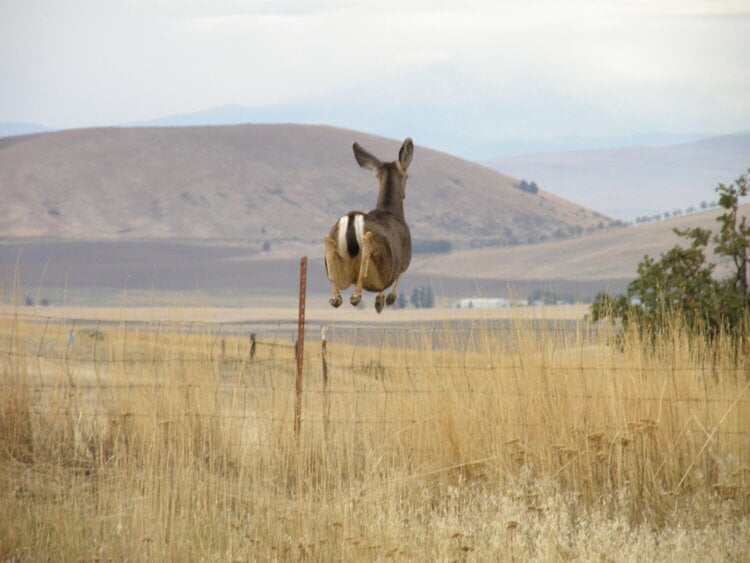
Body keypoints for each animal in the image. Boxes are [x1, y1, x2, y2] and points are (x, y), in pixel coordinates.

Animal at [324, 137, 418, 312]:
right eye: (407, 176)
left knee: (329, 251)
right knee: (367, 247)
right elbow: (398, 276)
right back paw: (356, 296)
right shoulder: (405, 257)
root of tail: (352, 218)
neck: (390, 211)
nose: (404, 194)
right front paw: (386, 300)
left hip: (339, 265)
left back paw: (336, 298)